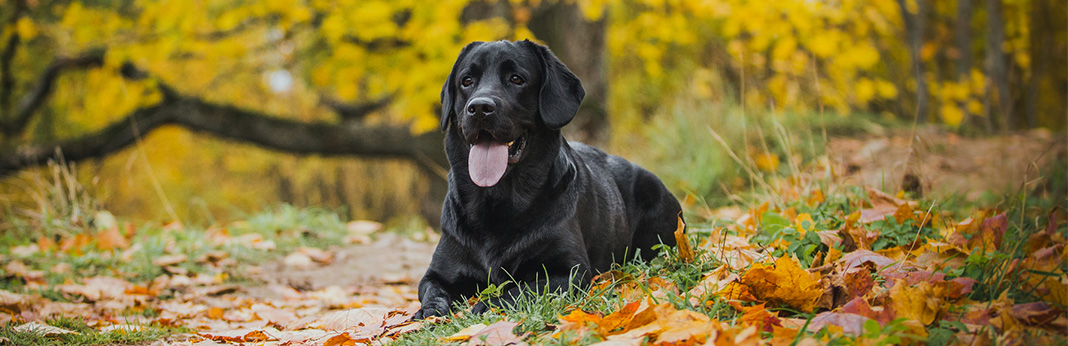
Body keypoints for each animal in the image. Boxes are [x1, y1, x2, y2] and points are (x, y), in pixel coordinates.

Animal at [412, 39, 679, 318]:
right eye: (466, 81)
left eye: (516, 79)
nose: (480, 108)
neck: (496, 203)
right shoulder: (437, 274)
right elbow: (433, 292)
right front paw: (429, 312)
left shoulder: (570, 271)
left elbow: (521, 290)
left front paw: (487, 305)